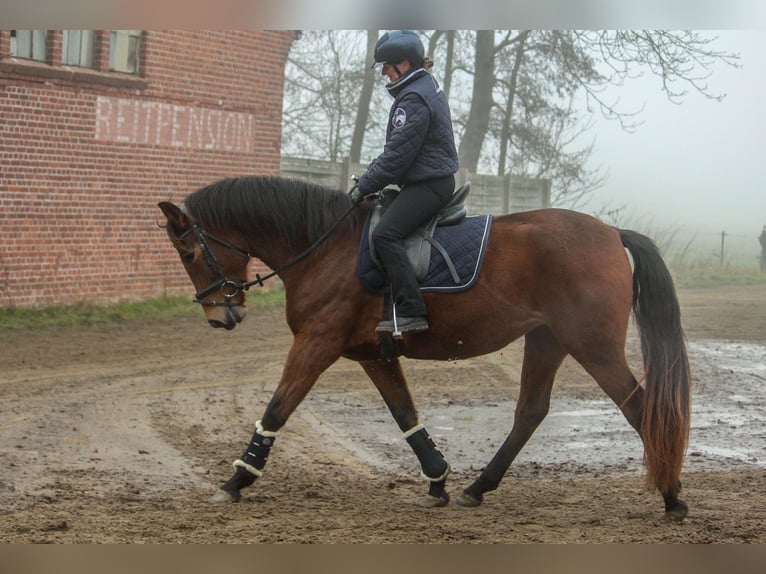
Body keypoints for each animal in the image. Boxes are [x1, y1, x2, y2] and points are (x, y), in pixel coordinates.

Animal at [159, 174, 692, 520]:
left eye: (189, 251)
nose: (220, 316)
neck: (325, 247)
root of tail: (611, 233)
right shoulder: (372, 354)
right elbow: (405, 416)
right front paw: (437, 480)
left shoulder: (316, 344)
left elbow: (276, 410)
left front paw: (237, 480)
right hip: (548, 341)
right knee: (531, 412)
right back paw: (478, 488)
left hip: (593, 346)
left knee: (640, 408)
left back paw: (672, 497)